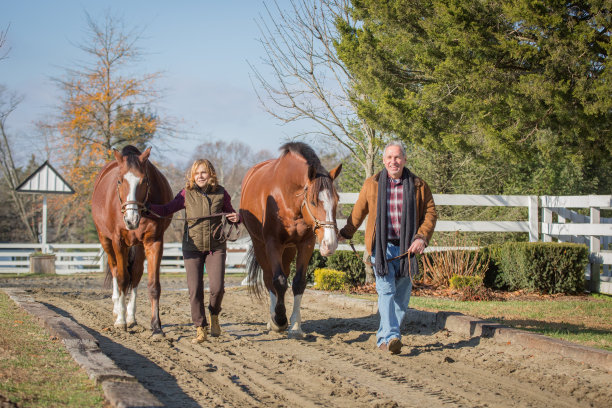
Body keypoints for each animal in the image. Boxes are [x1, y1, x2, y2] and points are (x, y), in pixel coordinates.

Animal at [91, 146, 172, 334]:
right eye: (120, 181)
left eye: (144, 180)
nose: (131, 220)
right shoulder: (118, 242)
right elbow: (121, 278)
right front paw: (121, 320)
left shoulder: (153, 242)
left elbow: (153, 284)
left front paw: (156, 326)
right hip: (105, 240)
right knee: (115, 270)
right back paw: (117, 309)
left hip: (138, 246)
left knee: (135, 274)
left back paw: (131, 316)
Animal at [240, 142, 344, 336]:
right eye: (313, 202)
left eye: (337, 200)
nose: (330, 244)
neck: (286, 197)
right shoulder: (273, 244)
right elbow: (278, 281)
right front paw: (280, 320)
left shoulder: (305, 244)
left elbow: (298, 282)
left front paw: (295, 325)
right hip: (260, 245)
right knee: (269, 279)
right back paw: (273, 319)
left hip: (288, 249)